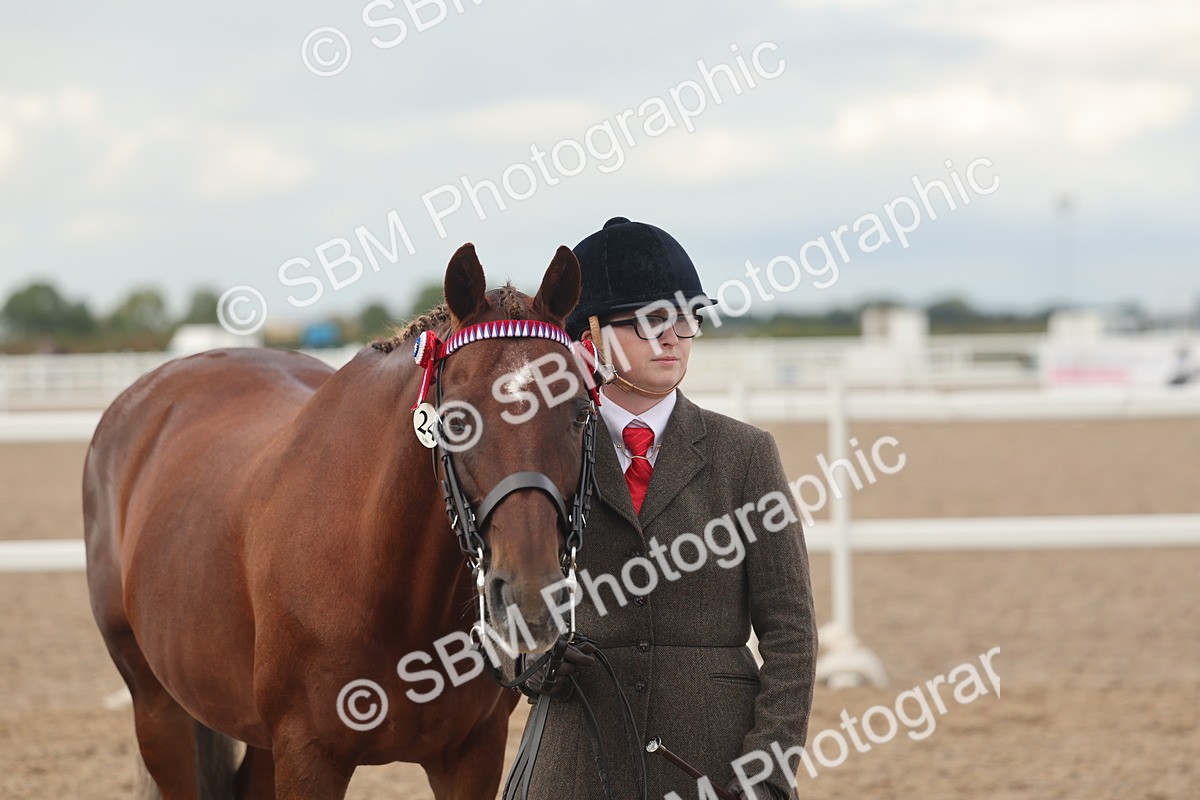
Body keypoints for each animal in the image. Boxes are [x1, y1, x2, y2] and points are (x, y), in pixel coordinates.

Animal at [84, 243, 596, 799]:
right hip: (158, 708)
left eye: (580, 412)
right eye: (457, 421)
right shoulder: (307, 755)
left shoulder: (472, 755)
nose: (532, 597)